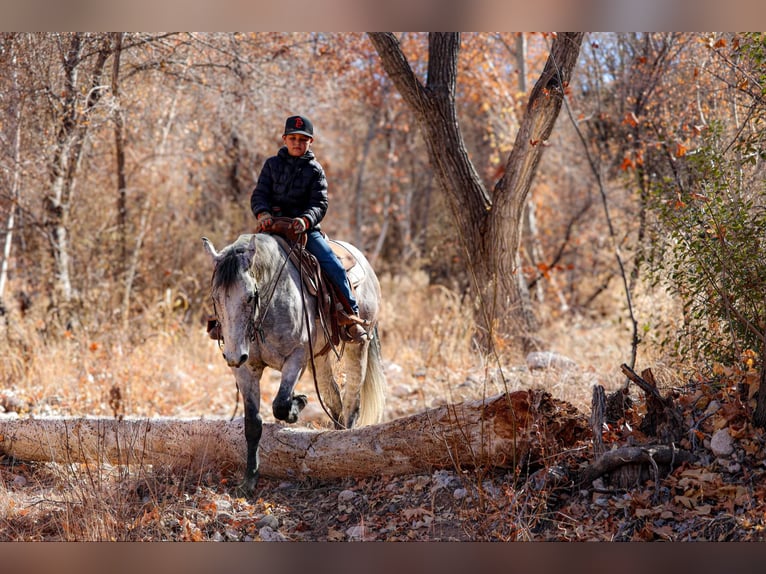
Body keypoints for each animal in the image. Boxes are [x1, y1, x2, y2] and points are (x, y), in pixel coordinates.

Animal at [202, 232, 386, 494]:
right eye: (215, 297)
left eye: (250, 297)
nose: (233, 356)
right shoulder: (246, 369)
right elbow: (253, 423)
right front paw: (249, 480)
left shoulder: (297, 357)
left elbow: (280, 404)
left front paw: (298, 403)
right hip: (319, 358)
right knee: (334, 398)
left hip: (358, 346)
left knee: (352, 398)